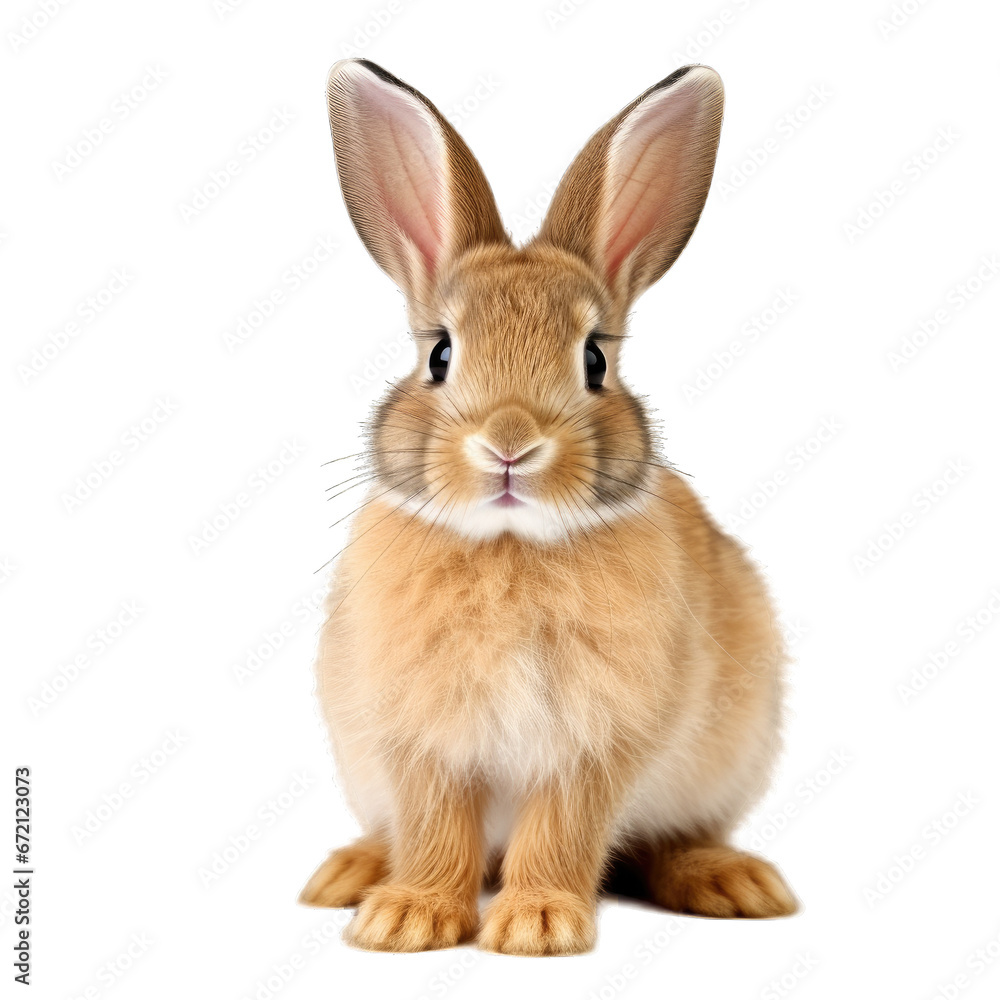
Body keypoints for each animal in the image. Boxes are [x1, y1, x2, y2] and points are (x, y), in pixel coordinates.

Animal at [299, 58, 798, 955]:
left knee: (671, 840)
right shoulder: (418, 741)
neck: (510, 544)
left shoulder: (596, 746)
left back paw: (733, 882)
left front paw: (536, 923)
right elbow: (434, 827)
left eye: (595, 359)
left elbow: (563, 829)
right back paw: (351, 874)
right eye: (440, 354)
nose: (510, 442)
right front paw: (407, 919)